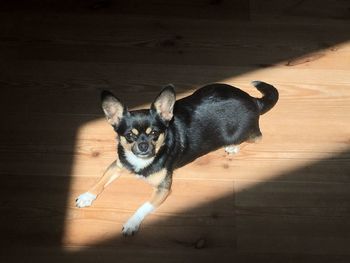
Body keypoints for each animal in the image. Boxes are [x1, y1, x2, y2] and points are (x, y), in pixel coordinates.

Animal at [76, 81, 278, 236]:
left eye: (154, 133)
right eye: (129, 136)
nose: (143, 146)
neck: (142, 162)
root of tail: (253, 100)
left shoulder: (162, 189)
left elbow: (144, 206)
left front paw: (132, 223)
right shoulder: (118, 164)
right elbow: (101, 180)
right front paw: (87, 195)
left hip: (239, 133)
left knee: (257, 137)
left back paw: (233, 147)